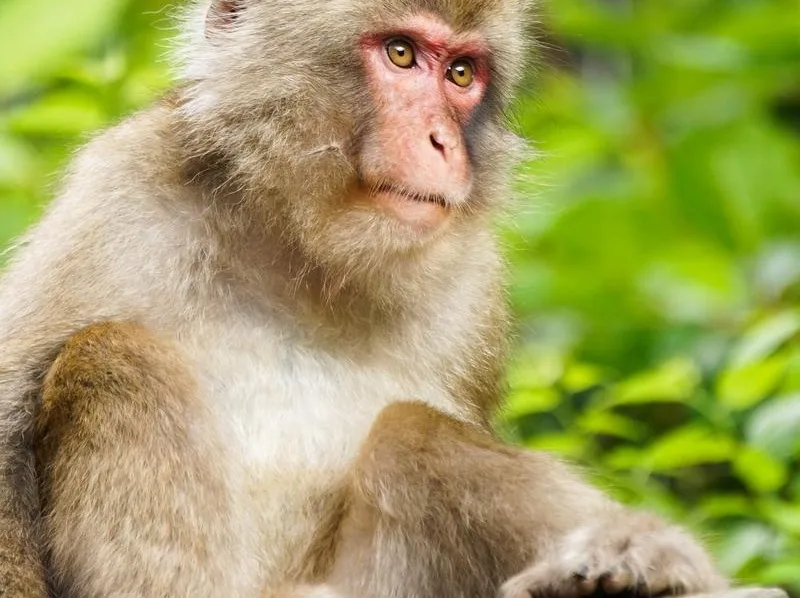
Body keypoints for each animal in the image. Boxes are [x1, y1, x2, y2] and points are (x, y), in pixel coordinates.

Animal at [0, 0, 741, 596]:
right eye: (402, 54)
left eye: (461, 74)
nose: (442, 143)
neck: (300, 255)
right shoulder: (117, 194)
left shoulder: (474, 283)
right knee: (111, 354)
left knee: (413, 431)